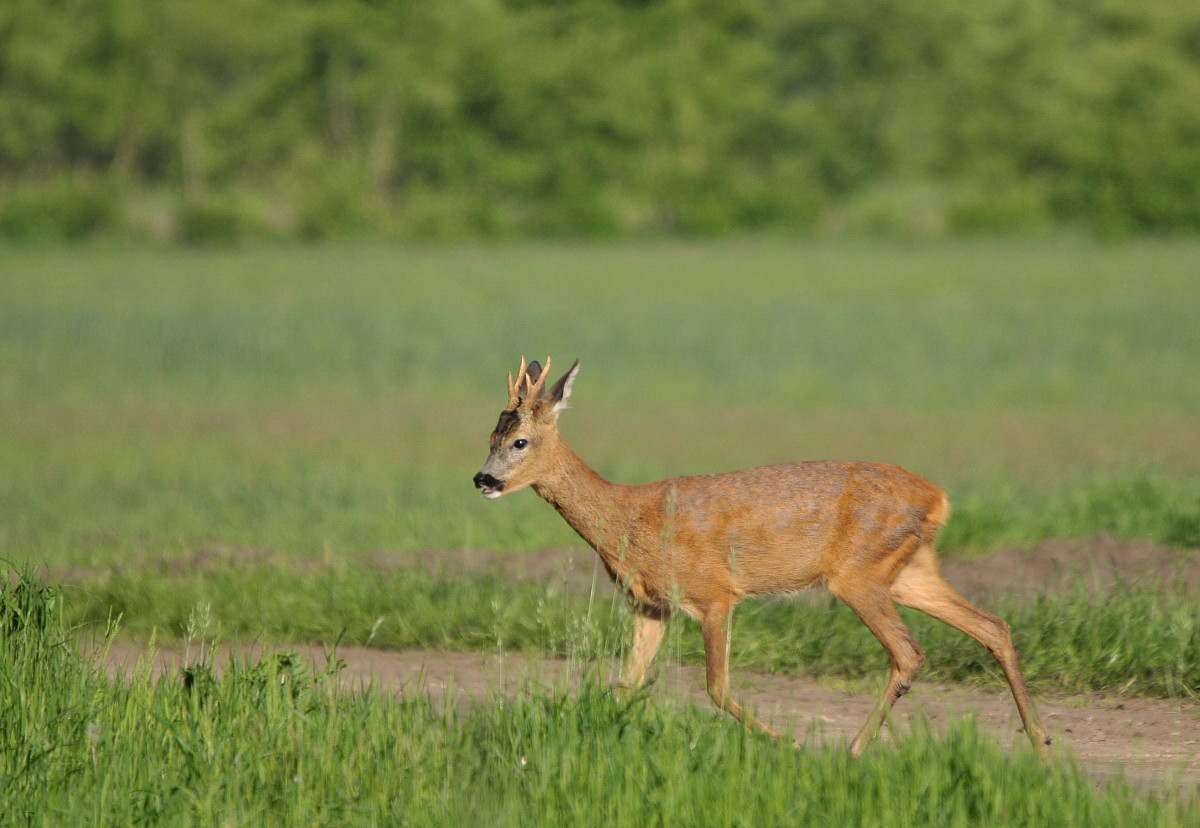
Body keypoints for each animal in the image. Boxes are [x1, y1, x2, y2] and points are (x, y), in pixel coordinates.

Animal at [472, 355, 1056, 753]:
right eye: (491, 435)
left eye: (521, 440)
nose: (482, 479)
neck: (629, 519)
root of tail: (939, 498)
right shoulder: (651, 605)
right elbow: (624, 684)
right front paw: (592, 737)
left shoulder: (714, 593)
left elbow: (716, 687)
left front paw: (788, 745)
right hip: (907, 571)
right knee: (993, 625)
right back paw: (1041, 744)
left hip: (860, 573)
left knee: (910, 651)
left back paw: (854, 750)